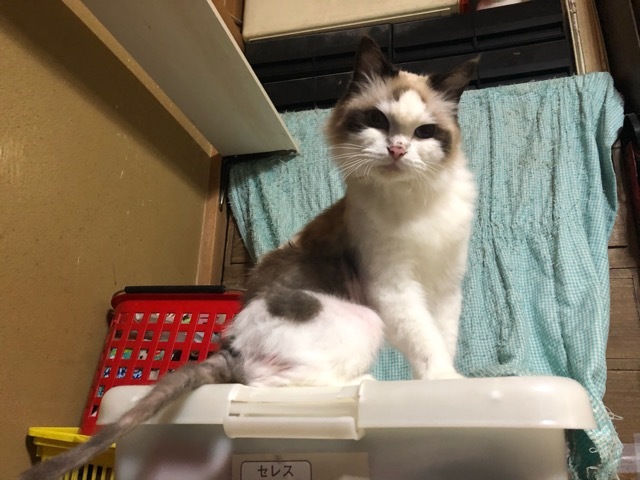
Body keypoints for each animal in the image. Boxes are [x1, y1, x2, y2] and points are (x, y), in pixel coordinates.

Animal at [19, 36, 477, 480]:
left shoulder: (445, 288)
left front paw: (445, 384)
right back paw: (357, 385)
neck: (416, 203)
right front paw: (443, 381)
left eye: (424, 132)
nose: (397, 150)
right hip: (362, 320)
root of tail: (230, 345)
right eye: (378, 121)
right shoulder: (395, 289)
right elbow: (425, 340)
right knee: (264, 386)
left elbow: (442, 337)